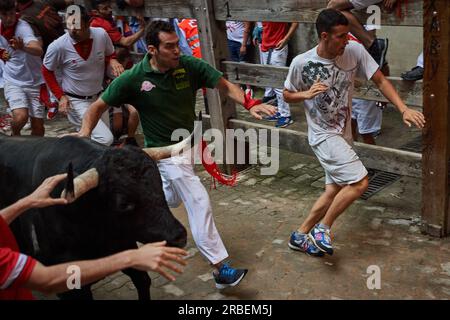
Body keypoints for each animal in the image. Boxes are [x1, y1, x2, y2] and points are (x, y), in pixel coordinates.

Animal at [0, 135, 187, 300]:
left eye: (159, 183)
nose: (179, 236)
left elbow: (142, 280)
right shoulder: (69, 287)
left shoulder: (123, 245)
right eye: (123, 204)